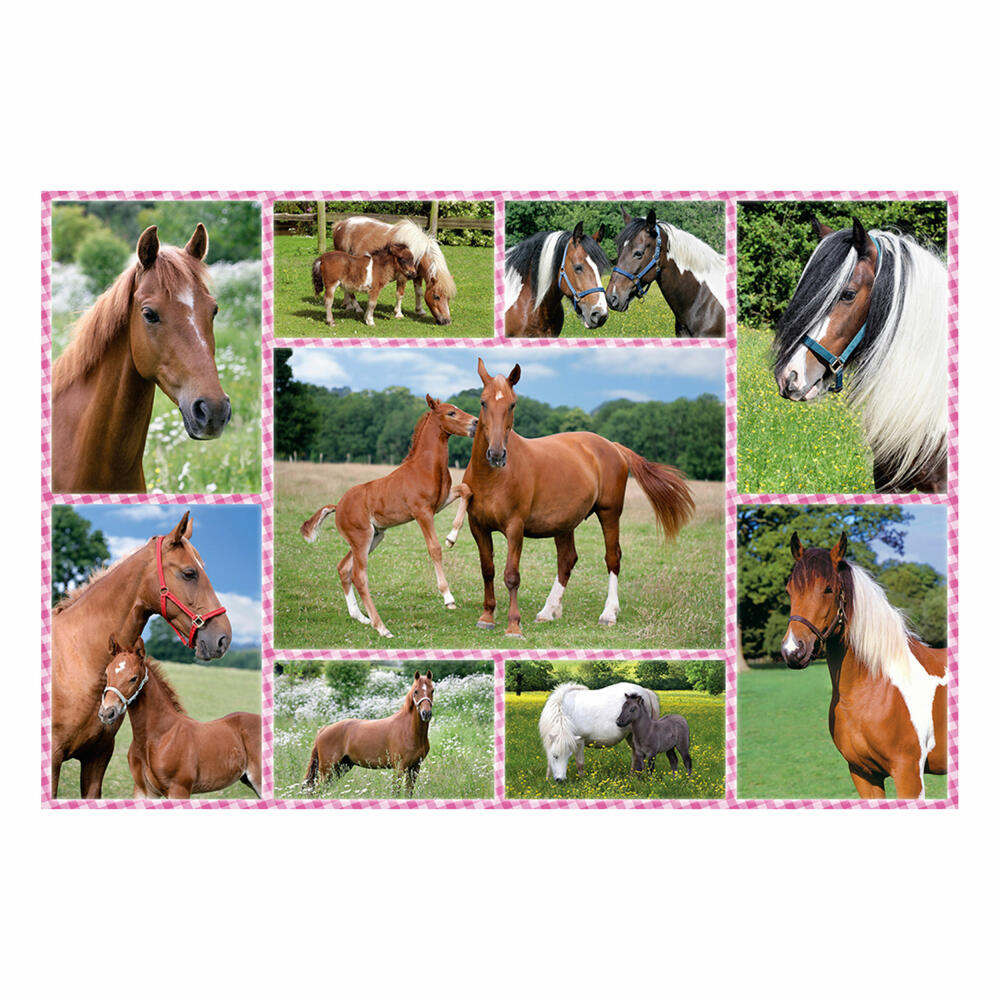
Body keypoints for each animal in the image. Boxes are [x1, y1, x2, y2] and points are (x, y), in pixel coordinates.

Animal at [98, 637, 261, 799]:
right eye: (106, 674)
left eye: (133, 678)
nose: (107, 713)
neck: (158, 737)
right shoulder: (143, 790)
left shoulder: (179, 788)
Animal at [300, 395, 477, 639]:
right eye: (451, 413)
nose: (476, 423)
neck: (424, 467)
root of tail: (338, 506)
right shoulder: (422, 512)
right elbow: (434, 549)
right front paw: (448, 597)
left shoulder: (441, 502)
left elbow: (466, 491)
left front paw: (452, 537)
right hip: (362, 538)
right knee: (359, 576)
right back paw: (382, 627)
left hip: (374, 537)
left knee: (344, 568)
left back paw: (360, 617)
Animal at [304, 671, 434, 796]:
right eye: (416, 691)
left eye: (432, 690)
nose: (426, 713)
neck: (408, 731)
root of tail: (324, 729)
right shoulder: (399, 768)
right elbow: (395, 793)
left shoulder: (415, 767)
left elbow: (408, 793)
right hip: (327, 770)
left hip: (341, 768)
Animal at [461, 358, 694, 637]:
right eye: (483, 402)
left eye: (512, 404)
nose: (496, 454)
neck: (493, 478)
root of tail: (613, 446)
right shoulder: (478, 527)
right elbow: (487, 570)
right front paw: (487, 616)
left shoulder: (515, 528)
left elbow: (511, 575)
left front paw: (513, 625)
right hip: (563, 524)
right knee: (567, 560)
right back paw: (548, 611)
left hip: (609, 513)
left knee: (612, 557)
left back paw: (608, 613)